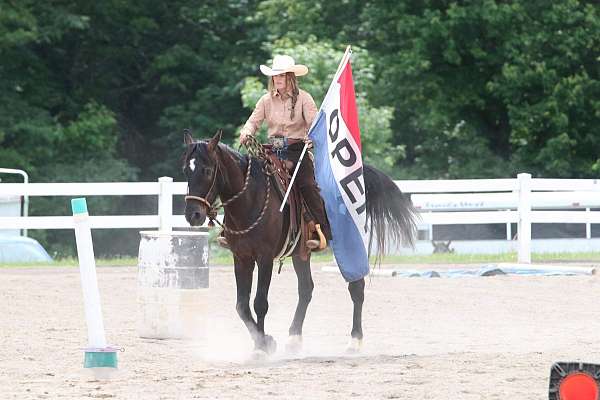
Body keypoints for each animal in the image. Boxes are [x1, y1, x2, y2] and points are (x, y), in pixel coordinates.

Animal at [182, 131, 418, 356]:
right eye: (186, 170)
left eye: (206, 170)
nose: (193, 215)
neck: (250, 199)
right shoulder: (241, 258)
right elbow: (242, 306)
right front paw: (264, 341)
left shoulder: (265, 258)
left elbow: (260, 303)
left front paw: (262, 347)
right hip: (301, 252)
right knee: (306, 289)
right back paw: (294, 338)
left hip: (350, 245)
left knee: (356, 288)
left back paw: (355, 341)